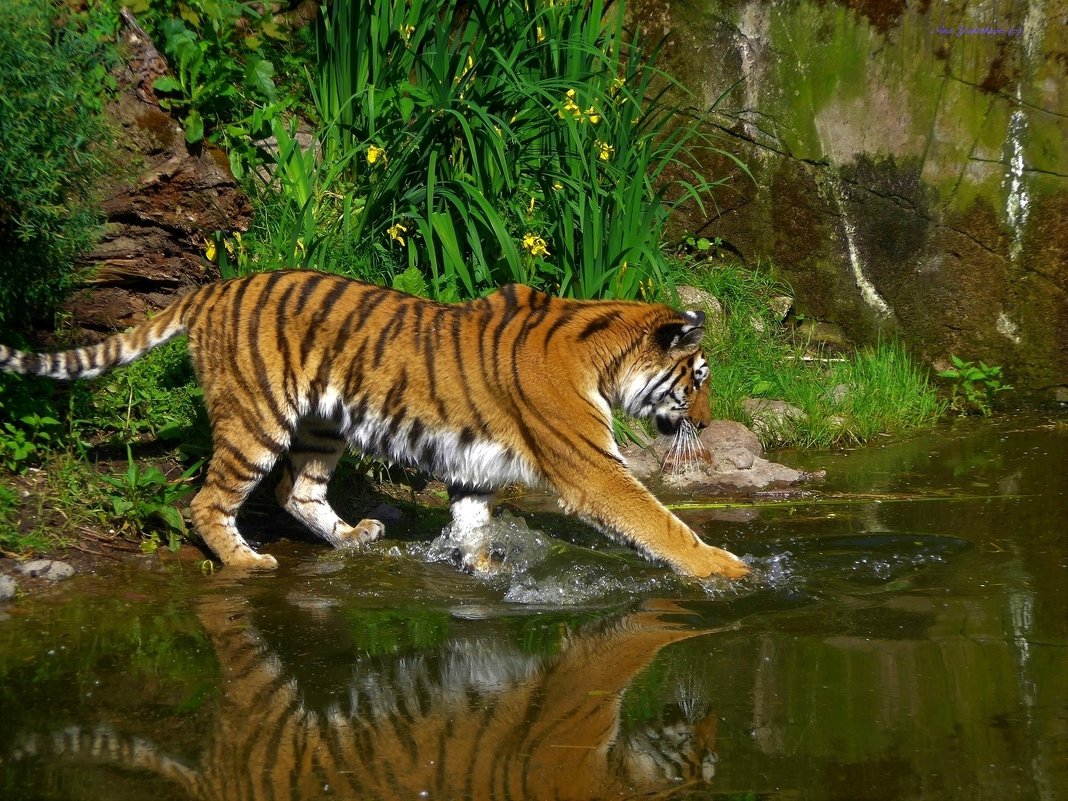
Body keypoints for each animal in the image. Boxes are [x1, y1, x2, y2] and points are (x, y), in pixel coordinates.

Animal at [0, 270, 748, 579]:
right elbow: (659, 523)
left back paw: (353, 536)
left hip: (322, 425)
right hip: (255, 420)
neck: (603, 352)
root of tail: (213, 288)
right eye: (698, 378)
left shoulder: (472, 466)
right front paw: (726, 570)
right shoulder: (593, 469)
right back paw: (245, 560)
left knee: (294, 491)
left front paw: (481, 569)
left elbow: (471, 523)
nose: (709, 424)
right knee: (207, 500)